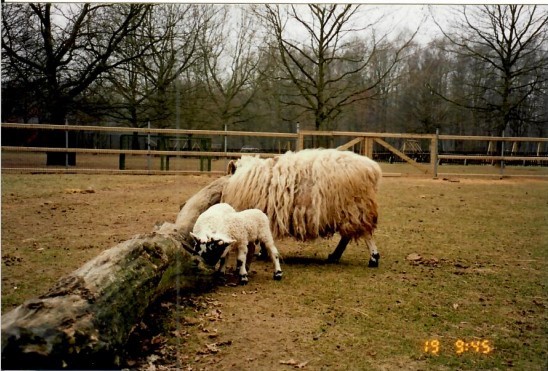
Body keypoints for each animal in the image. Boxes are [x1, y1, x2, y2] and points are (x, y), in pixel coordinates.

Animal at [220, 148, 384, 268]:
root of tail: (372, 169)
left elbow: (264, 237)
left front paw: (263, 254)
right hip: (349, 211)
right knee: (347, 236)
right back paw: (334, 256)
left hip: (355, 208)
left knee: (365, 234)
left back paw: (373, 258)